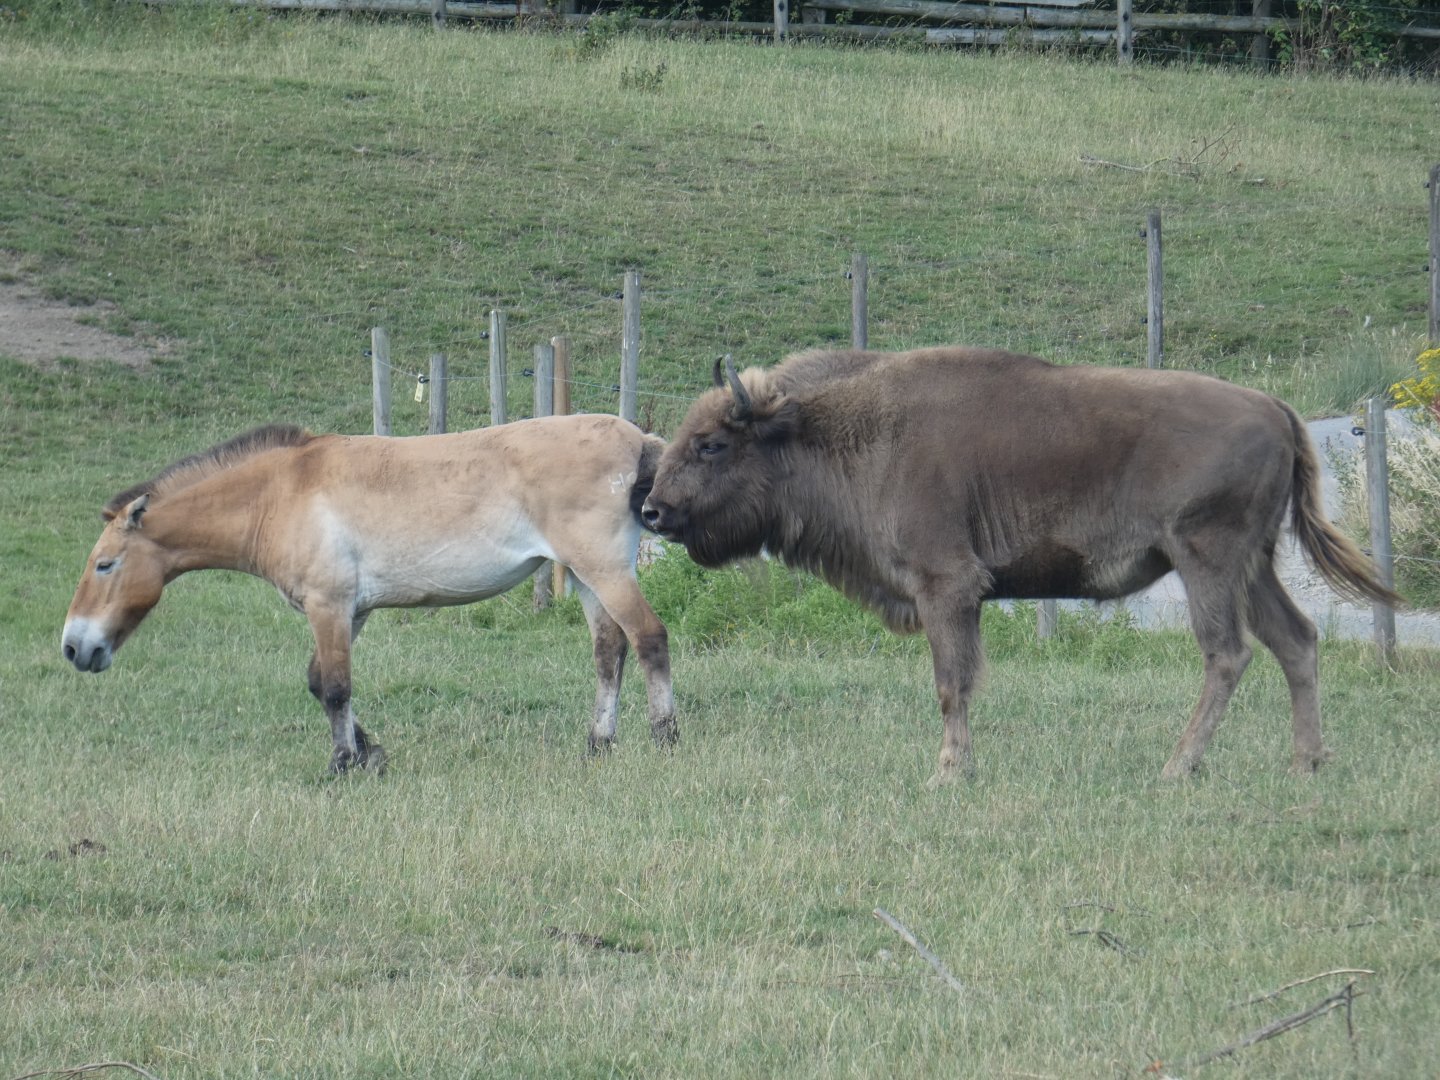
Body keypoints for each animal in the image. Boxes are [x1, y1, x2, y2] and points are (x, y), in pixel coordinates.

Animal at [61, 415, 678, 773]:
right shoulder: (347, 613)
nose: (74, 647)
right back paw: (599, 743)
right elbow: (320, 681)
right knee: (609, 652)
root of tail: (637, 438)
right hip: (587, 577)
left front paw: (342, 762)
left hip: (603, 569)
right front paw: (369, 752)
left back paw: (664, 737)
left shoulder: (328, 605)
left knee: (649, 638)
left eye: (104, 565)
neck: (281, 492)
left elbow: (335, 686)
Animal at [641, 347, 1399, 785]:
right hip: (1255, 565)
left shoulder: (947, 588)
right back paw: (1306, 763)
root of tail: (1277, 409)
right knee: (1296, 641)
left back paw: (1176, 767)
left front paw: (949, 773)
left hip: (1207, 560)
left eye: (711, 444)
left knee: (1227, 654)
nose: (651, 510)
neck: (836, 432)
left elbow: (952, 683)